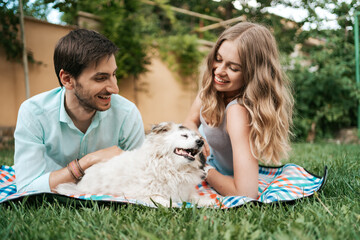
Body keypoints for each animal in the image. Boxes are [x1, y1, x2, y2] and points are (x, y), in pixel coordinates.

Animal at [54, 122, 215, 206]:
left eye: (198, 137)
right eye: (184, 136)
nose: (200, 142)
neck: (173, 168)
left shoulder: (185, 192)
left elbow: (195, 196)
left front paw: (207, 201)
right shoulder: (141, 193)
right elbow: (160, 199)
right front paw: (173, 205)